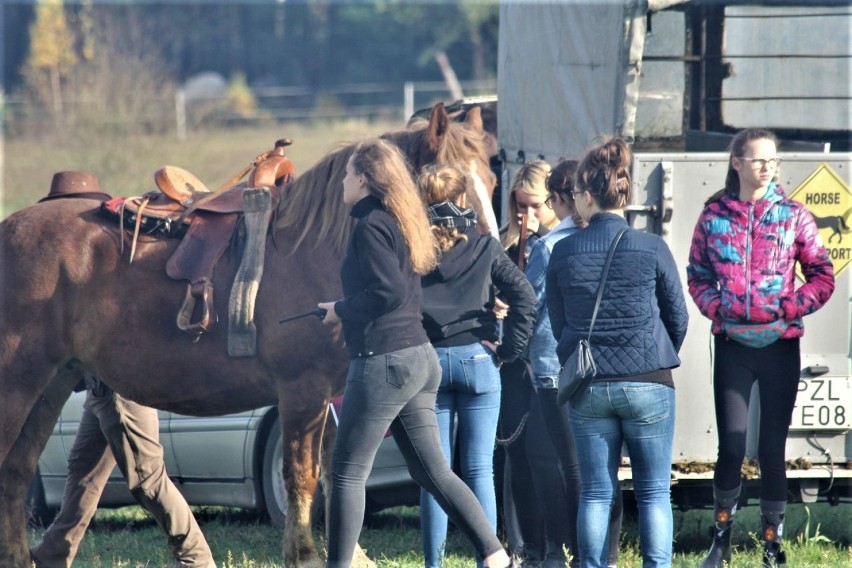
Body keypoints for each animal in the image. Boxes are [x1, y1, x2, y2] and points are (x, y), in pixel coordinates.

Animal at [0, 103, 492, 568]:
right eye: (455, 187)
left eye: (490, 176)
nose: (487, 254)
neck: (314, 249)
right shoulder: (302, 390)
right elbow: (301, 474)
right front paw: (305, 553)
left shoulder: (335, 395)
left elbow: (336, 470)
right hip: (19, 383)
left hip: (53, 382)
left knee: (17, 471)